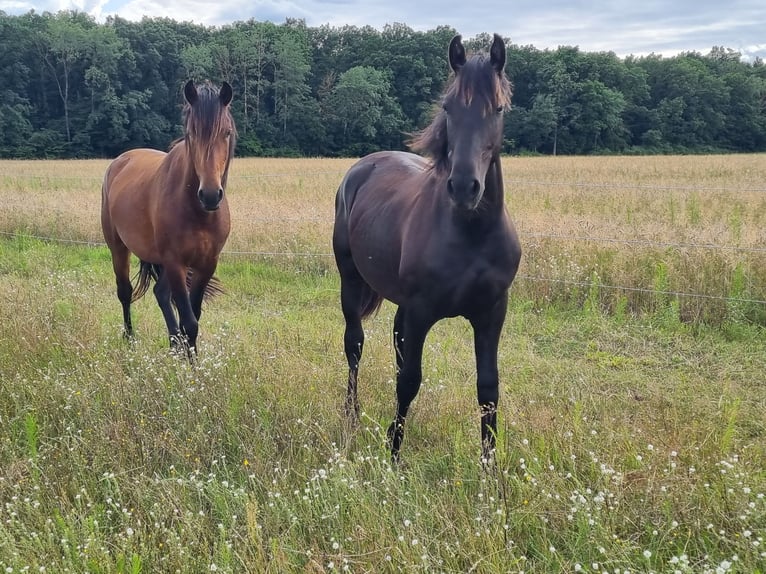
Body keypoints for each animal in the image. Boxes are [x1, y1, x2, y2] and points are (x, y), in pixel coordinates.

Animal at [102, 81, 236, 356]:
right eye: (192, 133)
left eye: (227, 132)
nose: (210, 195)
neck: (198, 212)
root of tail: (120, 161)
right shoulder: (175, 263)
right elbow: (190, 322)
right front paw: (191, 364)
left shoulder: (206, 264)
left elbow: (193, 316)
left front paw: (187, 355)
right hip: (118, 248)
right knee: (125, 292)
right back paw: (130, 339)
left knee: (160, 293)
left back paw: (174, 343)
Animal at [332, 33, 524, 462]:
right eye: (449, 107)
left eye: (498, 108)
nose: (465, 187)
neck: (471, 234)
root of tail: (362, 166)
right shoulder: (421, 311)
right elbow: (410, 380)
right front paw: (393, 456)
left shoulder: (492, 313)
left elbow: (488, 389)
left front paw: (490, 469)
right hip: (350, 283)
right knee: (355, 345)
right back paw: (351, 415)